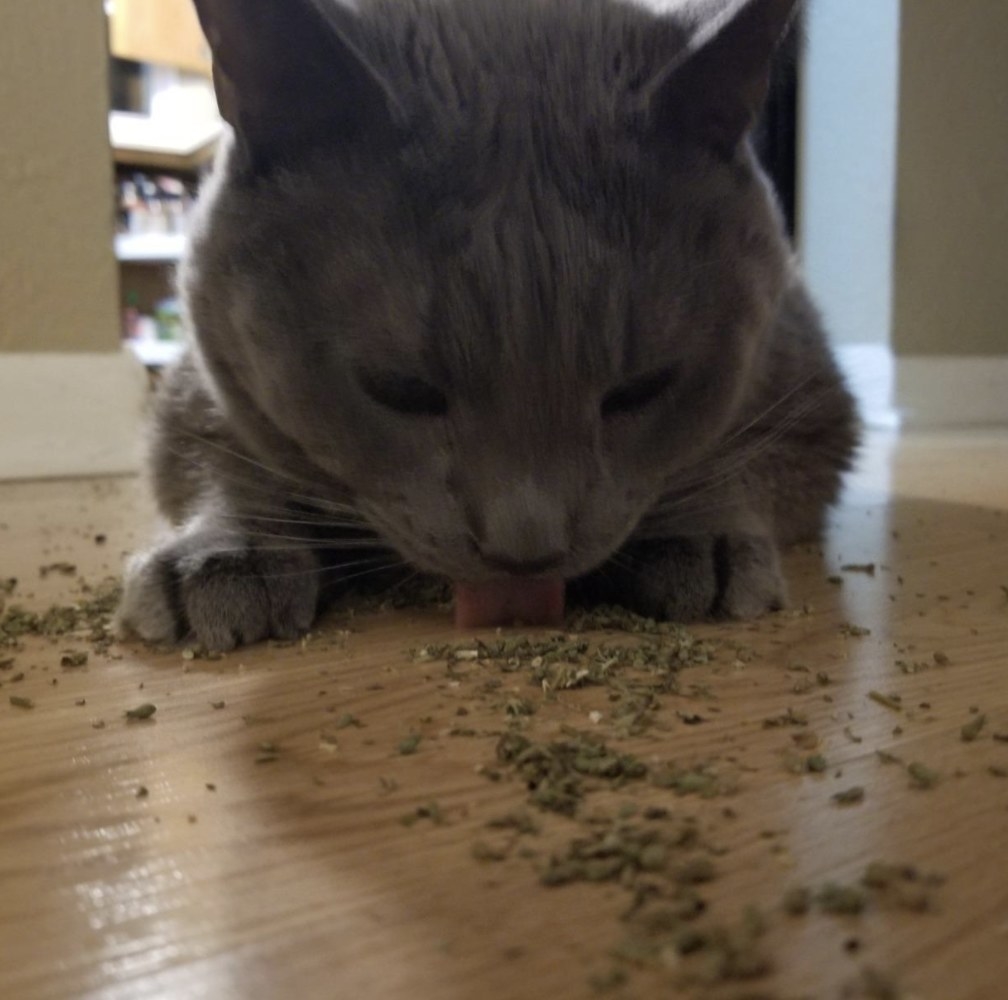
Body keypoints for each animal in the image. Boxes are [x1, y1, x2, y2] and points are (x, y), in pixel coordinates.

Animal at [115, 0, 858, 649]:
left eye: (644, 388)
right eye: (397, 389)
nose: (525, 551)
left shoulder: (809, 391)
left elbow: (745, 453)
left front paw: (698, 536)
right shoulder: (201, 379)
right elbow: (214, 450)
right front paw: (226, 556)